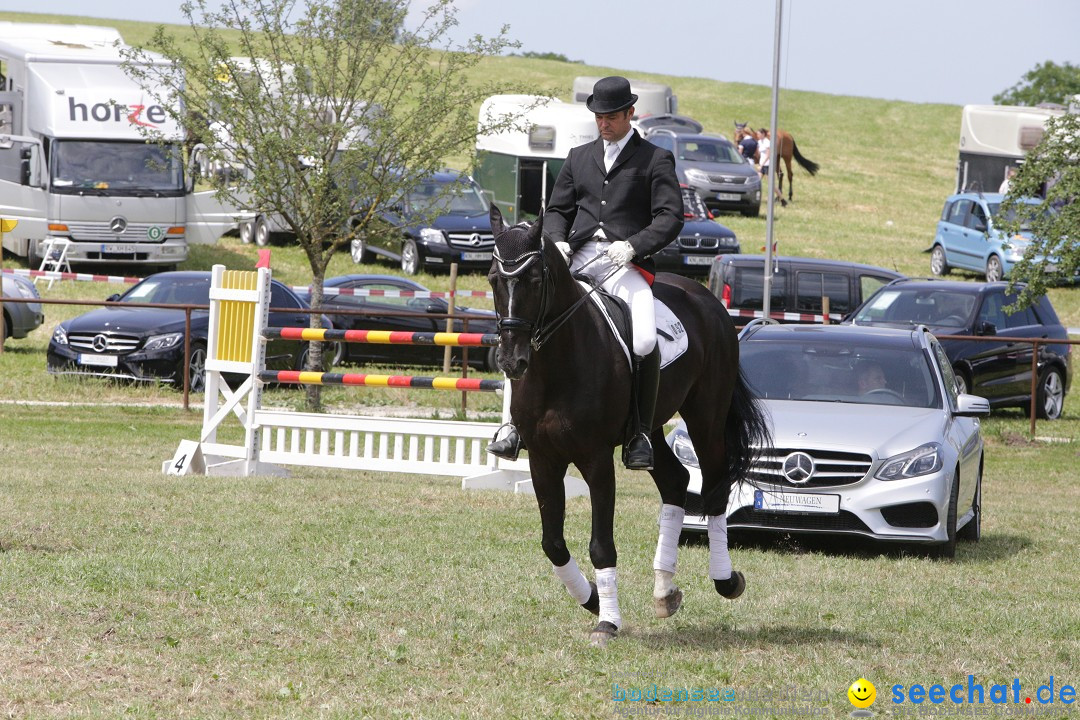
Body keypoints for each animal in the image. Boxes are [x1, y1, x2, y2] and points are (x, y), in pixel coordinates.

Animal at [486, 204, 773, 647]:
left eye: (534, 280)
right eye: (493, 280)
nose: (511, 360)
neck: (557, 364)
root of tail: (705, 297)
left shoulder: (597, 459)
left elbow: (601, 545)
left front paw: (607, 622)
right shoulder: (543, 459)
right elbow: (553, 543)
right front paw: (590, 599)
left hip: (706, 417)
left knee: (714, 487)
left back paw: (725, 580)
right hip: (650, 429)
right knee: (674, 481)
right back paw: (664, 591)